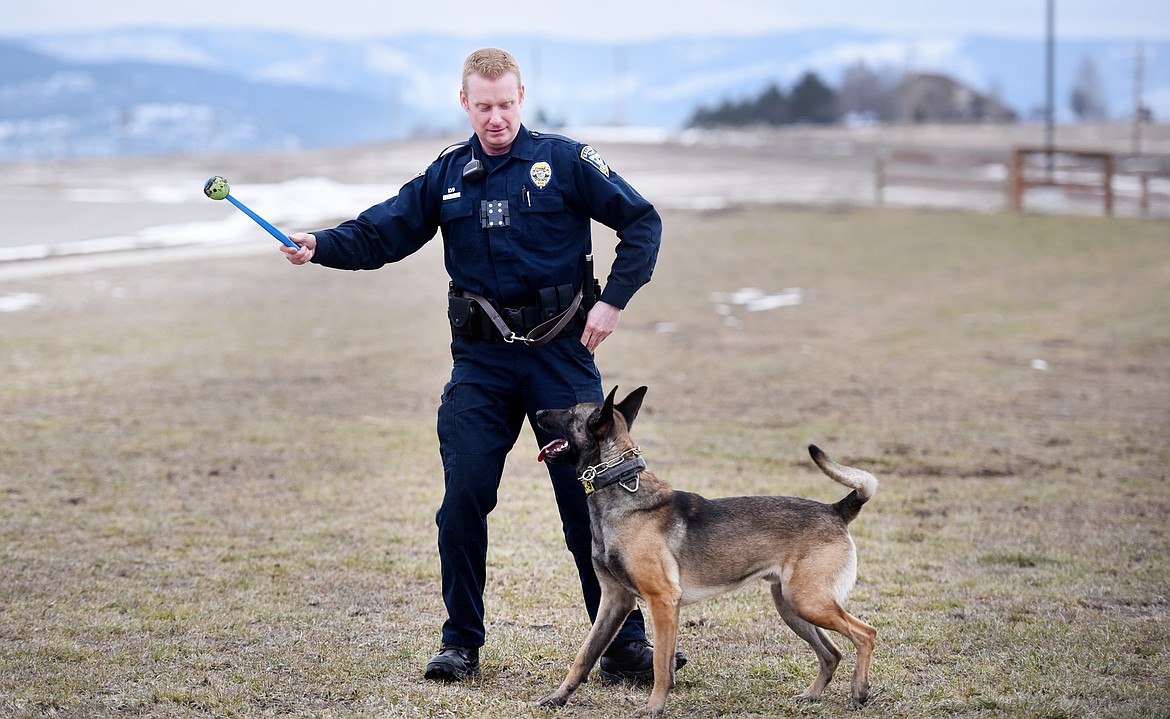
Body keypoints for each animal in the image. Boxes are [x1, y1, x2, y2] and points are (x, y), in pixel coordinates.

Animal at [535, 385, 875, 715]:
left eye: (569, 412)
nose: (537, 412)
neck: (620, 486)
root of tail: (835, 510)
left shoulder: (663, 601)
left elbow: (661, 665)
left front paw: (653, 708)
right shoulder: (614, 602)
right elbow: (584, 655)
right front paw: (557, 698)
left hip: (808, 602)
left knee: (865, 634)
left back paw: (859, 690)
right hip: (792, 606)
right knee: (832, 653)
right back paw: (811, 695)